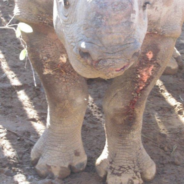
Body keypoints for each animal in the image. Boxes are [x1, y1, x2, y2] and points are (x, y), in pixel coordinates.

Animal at [13, 0, 183, 183]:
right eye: (65, 3)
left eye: (146, 4)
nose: (111, 61)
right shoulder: (33, 18)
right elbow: (63, 95)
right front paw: (53, 168)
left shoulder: (161, 31)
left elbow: (126, 104)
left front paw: (126, 175)